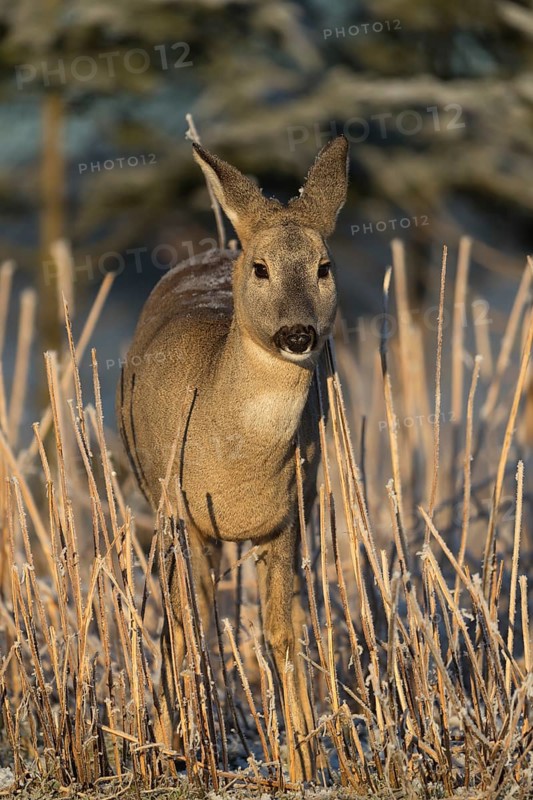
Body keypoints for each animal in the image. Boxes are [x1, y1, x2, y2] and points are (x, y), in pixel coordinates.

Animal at [116, 134, 349, 781]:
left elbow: (282, 635)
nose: (297, 334)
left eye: (324, 267)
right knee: (180, 619)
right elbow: (187, 626)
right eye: (262, 267)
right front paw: (189, 754)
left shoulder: (288, 515)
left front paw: (303, 765)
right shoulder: (180, 512)